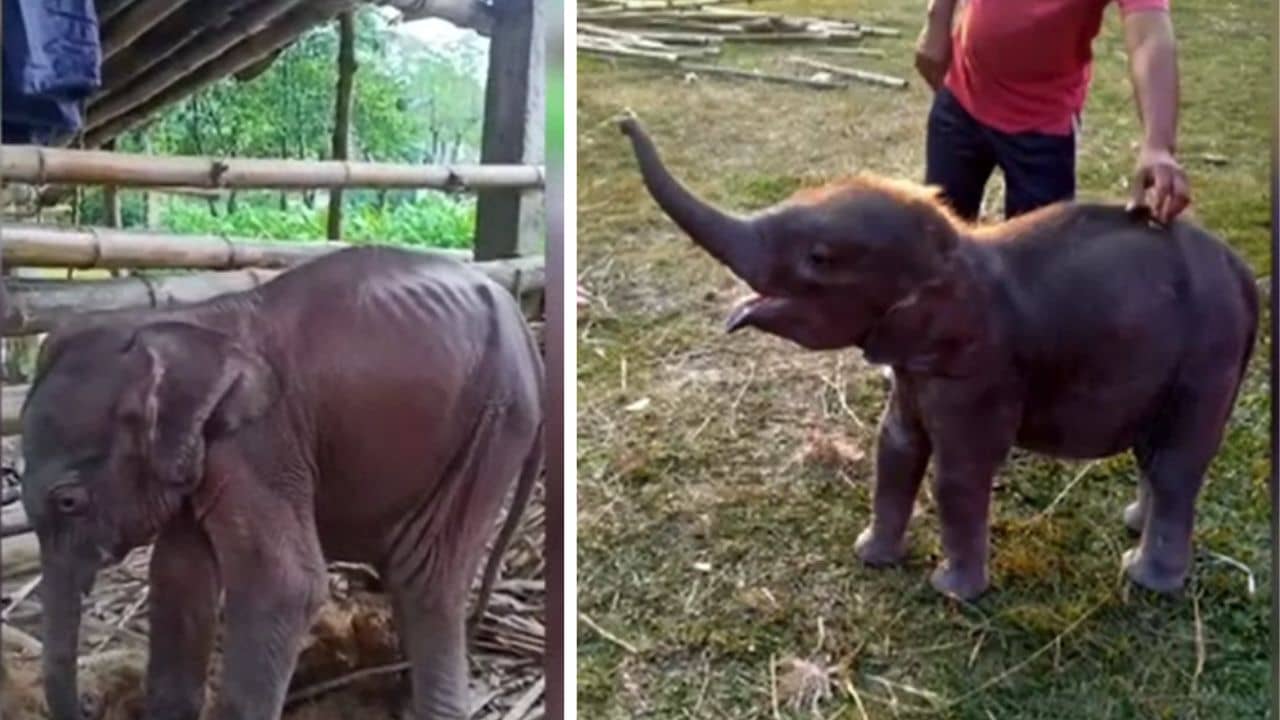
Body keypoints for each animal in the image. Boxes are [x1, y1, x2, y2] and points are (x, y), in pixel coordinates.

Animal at [19, 246, 544, 720]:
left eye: (68, 501)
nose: (89, 705)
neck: (176, 325)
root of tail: (520, 321)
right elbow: (179, 576)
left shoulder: (259, 443)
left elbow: (284, 585)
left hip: (493, 425)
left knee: (426, 577)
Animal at [619, 116, 1258, 601]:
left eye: (819, 258)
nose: (623, 121)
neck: (954, 250)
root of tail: (1242, 275)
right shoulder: (914, 364)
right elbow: (896, 445)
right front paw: (871, 556)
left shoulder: (978, 371)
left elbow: (958, 470)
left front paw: (951, 593)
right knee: (1159, 454)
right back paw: (1133, 525)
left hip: (1206, 358)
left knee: (1175, 461)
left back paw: (1145, 579)